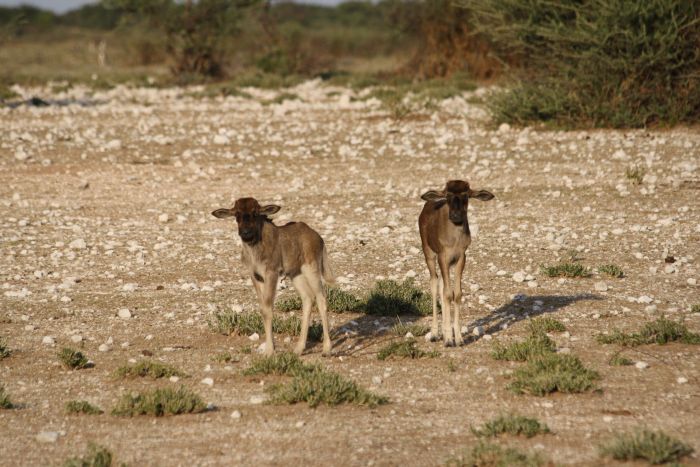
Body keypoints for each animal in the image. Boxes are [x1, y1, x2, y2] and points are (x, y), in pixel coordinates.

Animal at [212, 198, 334, 358]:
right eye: (237, 214)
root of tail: (318, 238)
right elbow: (263, 308)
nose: (246, 233)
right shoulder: (256, 277)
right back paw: (299, 349)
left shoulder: (272, 273)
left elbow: (268, 308)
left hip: (311, 270)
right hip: (296, 274)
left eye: (255, 213)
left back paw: (327, 349)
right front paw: (270, 348)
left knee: (321, 298)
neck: (256, 247)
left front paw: (269, 350)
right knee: (308, 298)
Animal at [418, 181, 494, 346]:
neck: (454, 240)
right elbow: (447, 294)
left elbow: (457, 293)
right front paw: (448, 339)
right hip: (428, 253)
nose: (456, 216)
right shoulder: (443, 256)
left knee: (441, 285)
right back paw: (434, 334)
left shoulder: (461, 257)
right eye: (448, 195)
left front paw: (458, 338)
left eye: (466, 195)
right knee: (434, 283)